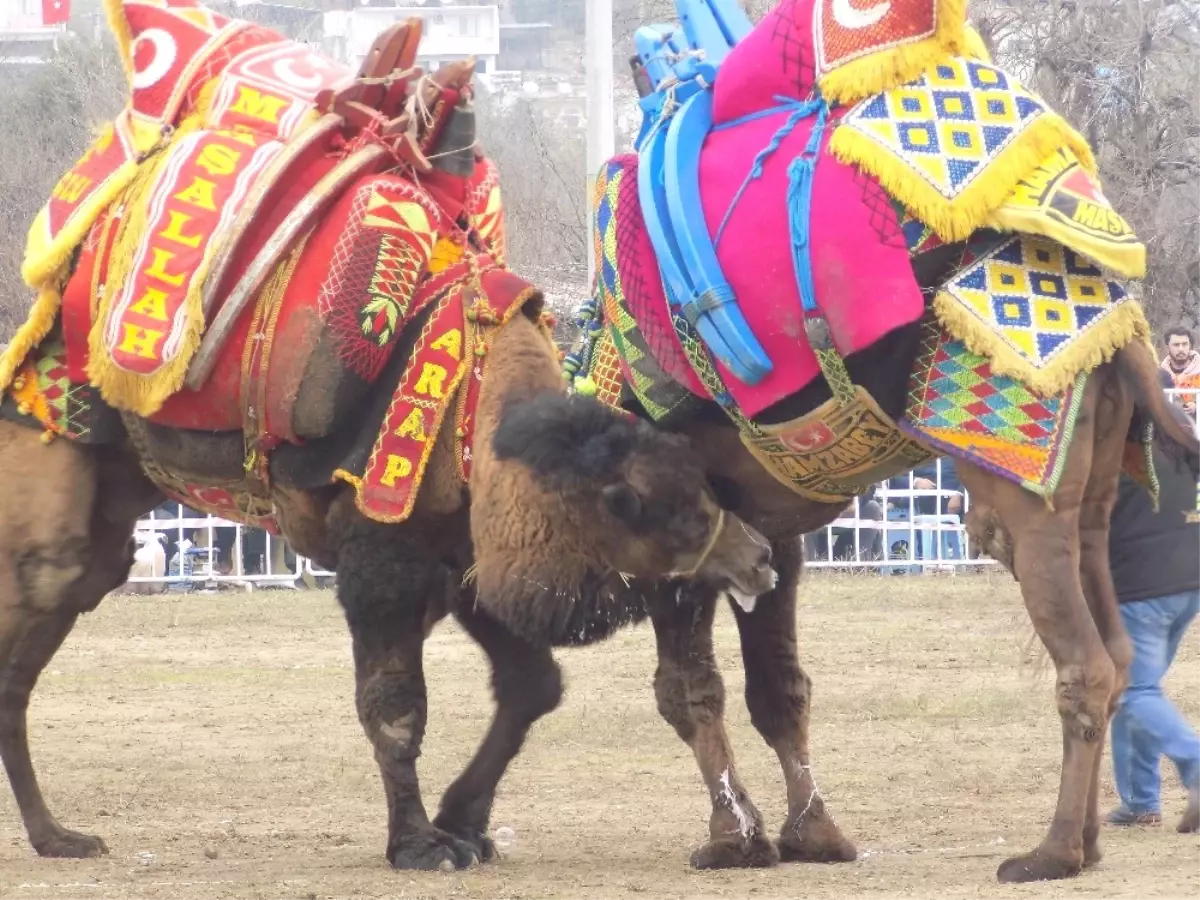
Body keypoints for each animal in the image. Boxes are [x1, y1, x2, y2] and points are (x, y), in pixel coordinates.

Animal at [0, 0, 777, 873]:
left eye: (703, 485)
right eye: (657, 506)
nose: (759, 556)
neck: (477, 417)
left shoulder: (465, 552)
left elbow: (531, 684)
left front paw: (464, 821)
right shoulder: (383, 551)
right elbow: (396, 706)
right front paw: (419, 843)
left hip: (108, 511)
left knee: (34, 647)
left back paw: (56, 834)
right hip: (44, 465)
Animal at [549, 0, 1200, 888]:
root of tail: (1124, 313)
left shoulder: (674, 537)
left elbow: (685, 689)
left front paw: (731, 841)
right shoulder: (771, 532)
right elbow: (776, 687)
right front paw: (808, 835)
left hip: (1017, 476)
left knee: (1085, 661)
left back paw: (1051, 852)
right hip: (1094, 476)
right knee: (1122, 648)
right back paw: (1092, 841)